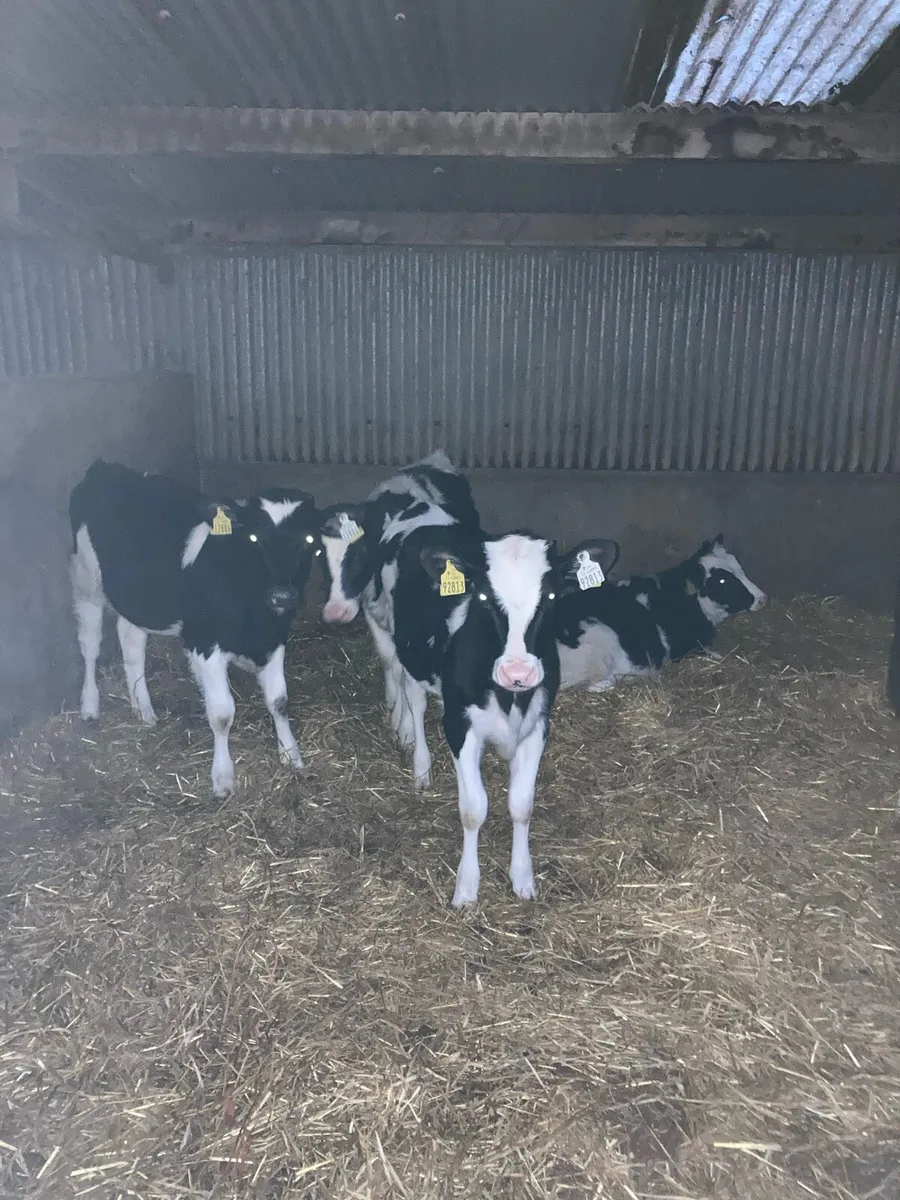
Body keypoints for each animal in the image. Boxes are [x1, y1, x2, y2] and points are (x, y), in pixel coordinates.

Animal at [69, 460, 320, 796]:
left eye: (309, 540)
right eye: (254, 538)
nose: (282, 595)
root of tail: (105, 468)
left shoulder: (274, 639)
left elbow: (279, 702)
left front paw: (291, 755)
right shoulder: (205, 642)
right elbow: (222, 713)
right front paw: (223, 778)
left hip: (138, 597)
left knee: (130, 641)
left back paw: (143, 709)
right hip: (86, 582)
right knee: (90, 646)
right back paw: (90, 705)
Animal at [320, 451, 481, 746]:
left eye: (359, 552)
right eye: (318, 554)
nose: (336, 612)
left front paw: (405, 727)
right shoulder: (370, 609)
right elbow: (389, 663)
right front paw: (395, 708)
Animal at [391, 525, 620, 905]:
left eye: (551, 596)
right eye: (483, 597)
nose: (518, 671)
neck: (509, 696)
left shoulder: (538, 725)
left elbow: (521, 804)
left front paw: (523, 877)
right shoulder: (460, 727)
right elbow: (473, 810)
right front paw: (466, 887)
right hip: (411, 658)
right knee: (415, 701)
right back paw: (420, 765)